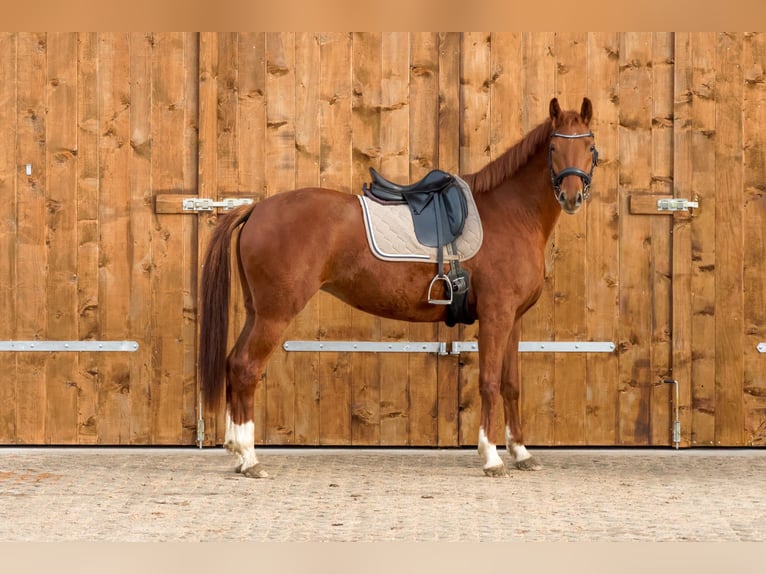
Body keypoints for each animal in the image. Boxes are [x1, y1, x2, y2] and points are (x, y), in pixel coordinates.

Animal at [199, 97, 598, 478]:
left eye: (589, 145)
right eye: (554, 147)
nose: (572, 196)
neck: (509, 214)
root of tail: (256, 209)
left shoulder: (513, 321)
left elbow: (511, 384)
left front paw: (522, 453)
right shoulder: (495, 317)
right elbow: (488, 382)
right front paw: (491, 458)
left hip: (257, 311)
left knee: (234, 363)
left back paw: (237, 452)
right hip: (275, 314)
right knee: (246, 368)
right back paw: (250, 459)